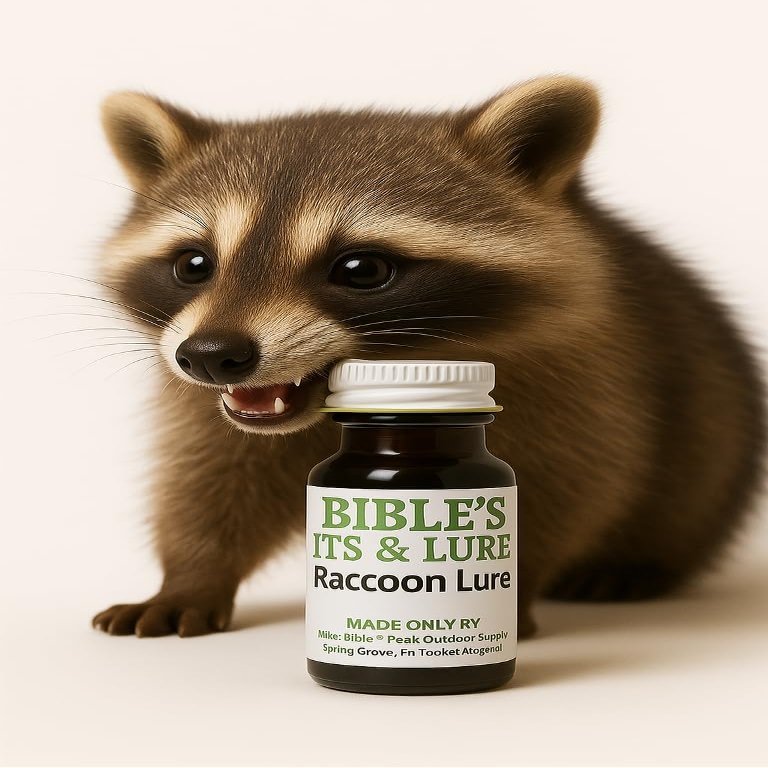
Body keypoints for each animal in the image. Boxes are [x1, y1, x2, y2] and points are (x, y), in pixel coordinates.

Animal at [91, 76, 765, 639]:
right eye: (193, 264)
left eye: (360, 269)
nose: (211, 357)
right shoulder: (207, 405)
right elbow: (205, 480)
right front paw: (190, 575)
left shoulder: (589, 374)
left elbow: (574, 481)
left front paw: (508, 592)